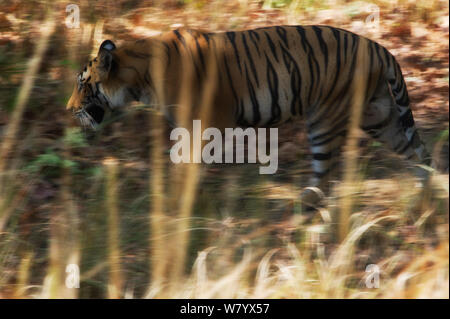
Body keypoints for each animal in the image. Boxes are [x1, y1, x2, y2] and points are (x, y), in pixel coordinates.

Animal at [67, 26, 432, 209]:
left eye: (83, 84)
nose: (69, 110)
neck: (139, 76)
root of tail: (376, 46)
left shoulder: (205, 124)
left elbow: (185, 166)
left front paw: (176, 200)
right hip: (377, 115)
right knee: (415, 149)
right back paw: (427, 191)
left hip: (327, 120)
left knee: (326, 174)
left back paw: (305, 207)